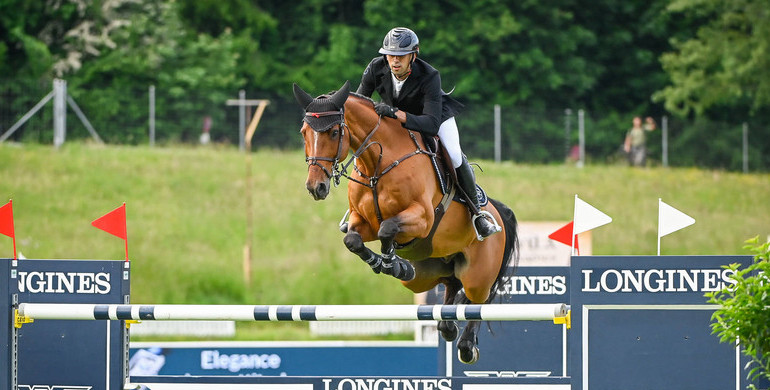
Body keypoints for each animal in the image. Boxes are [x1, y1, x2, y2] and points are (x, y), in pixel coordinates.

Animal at [292, 80, 520, 364]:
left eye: (334, 133)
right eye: (304, 132)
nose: (316, 187)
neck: (378, 164)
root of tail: (497, 211)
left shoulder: (422, 218)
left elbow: (388, 228)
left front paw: (393, 264)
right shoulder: (362, 221)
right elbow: (353, 239)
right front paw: (387, 263)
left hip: (478, 273)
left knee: (480, 298)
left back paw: (468, 344)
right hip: (428, 275)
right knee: (452, 285)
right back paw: (447, 324)